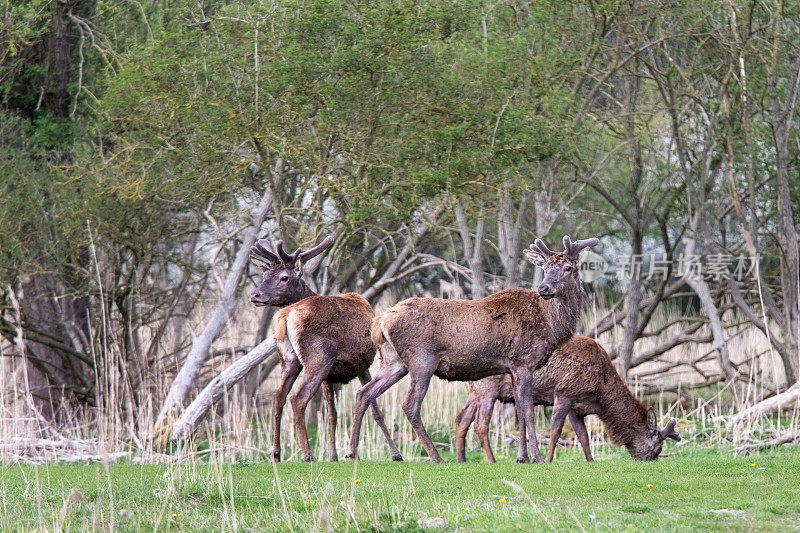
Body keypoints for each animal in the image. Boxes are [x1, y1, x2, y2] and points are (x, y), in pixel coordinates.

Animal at [248, 237, 404, 462]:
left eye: (283, 277)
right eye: (264, 275)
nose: (255, 294)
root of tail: (286, 316)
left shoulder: (330, 376)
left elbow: (332, 414)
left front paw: (333, 454)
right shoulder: (362, 365)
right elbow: (375, 408)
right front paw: (395, 453)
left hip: (290, 359)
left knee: (279, 396)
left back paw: (276, 453)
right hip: (318, 358)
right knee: (297, 398)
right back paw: (307, 454)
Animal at [346, 234, 596, 462]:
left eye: (567, 268)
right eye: (544, 268)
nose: (543, 288)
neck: (550, 326)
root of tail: (379, 322)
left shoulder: (512, 368)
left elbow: (519, 412)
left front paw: (522, 457)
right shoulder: (524, 361)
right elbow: (527, 410)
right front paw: (536, 457)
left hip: (393, 362)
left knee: (364, 393)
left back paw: (353, 452)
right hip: (422, 359)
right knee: (410, 405)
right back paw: (436, 457)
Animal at [456, 336, 680, 462]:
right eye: (658, 448)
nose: (650, 460)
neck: (600, 394)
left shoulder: (576, 407)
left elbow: (583, 436)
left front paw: (591, 461)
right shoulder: (563, 393)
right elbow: (555, 431)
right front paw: (547, 459)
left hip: (473, 392)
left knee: (461, 420)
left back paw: (461, 459)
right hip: (487, 389)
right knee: (480, 424)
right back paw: (491, 460)